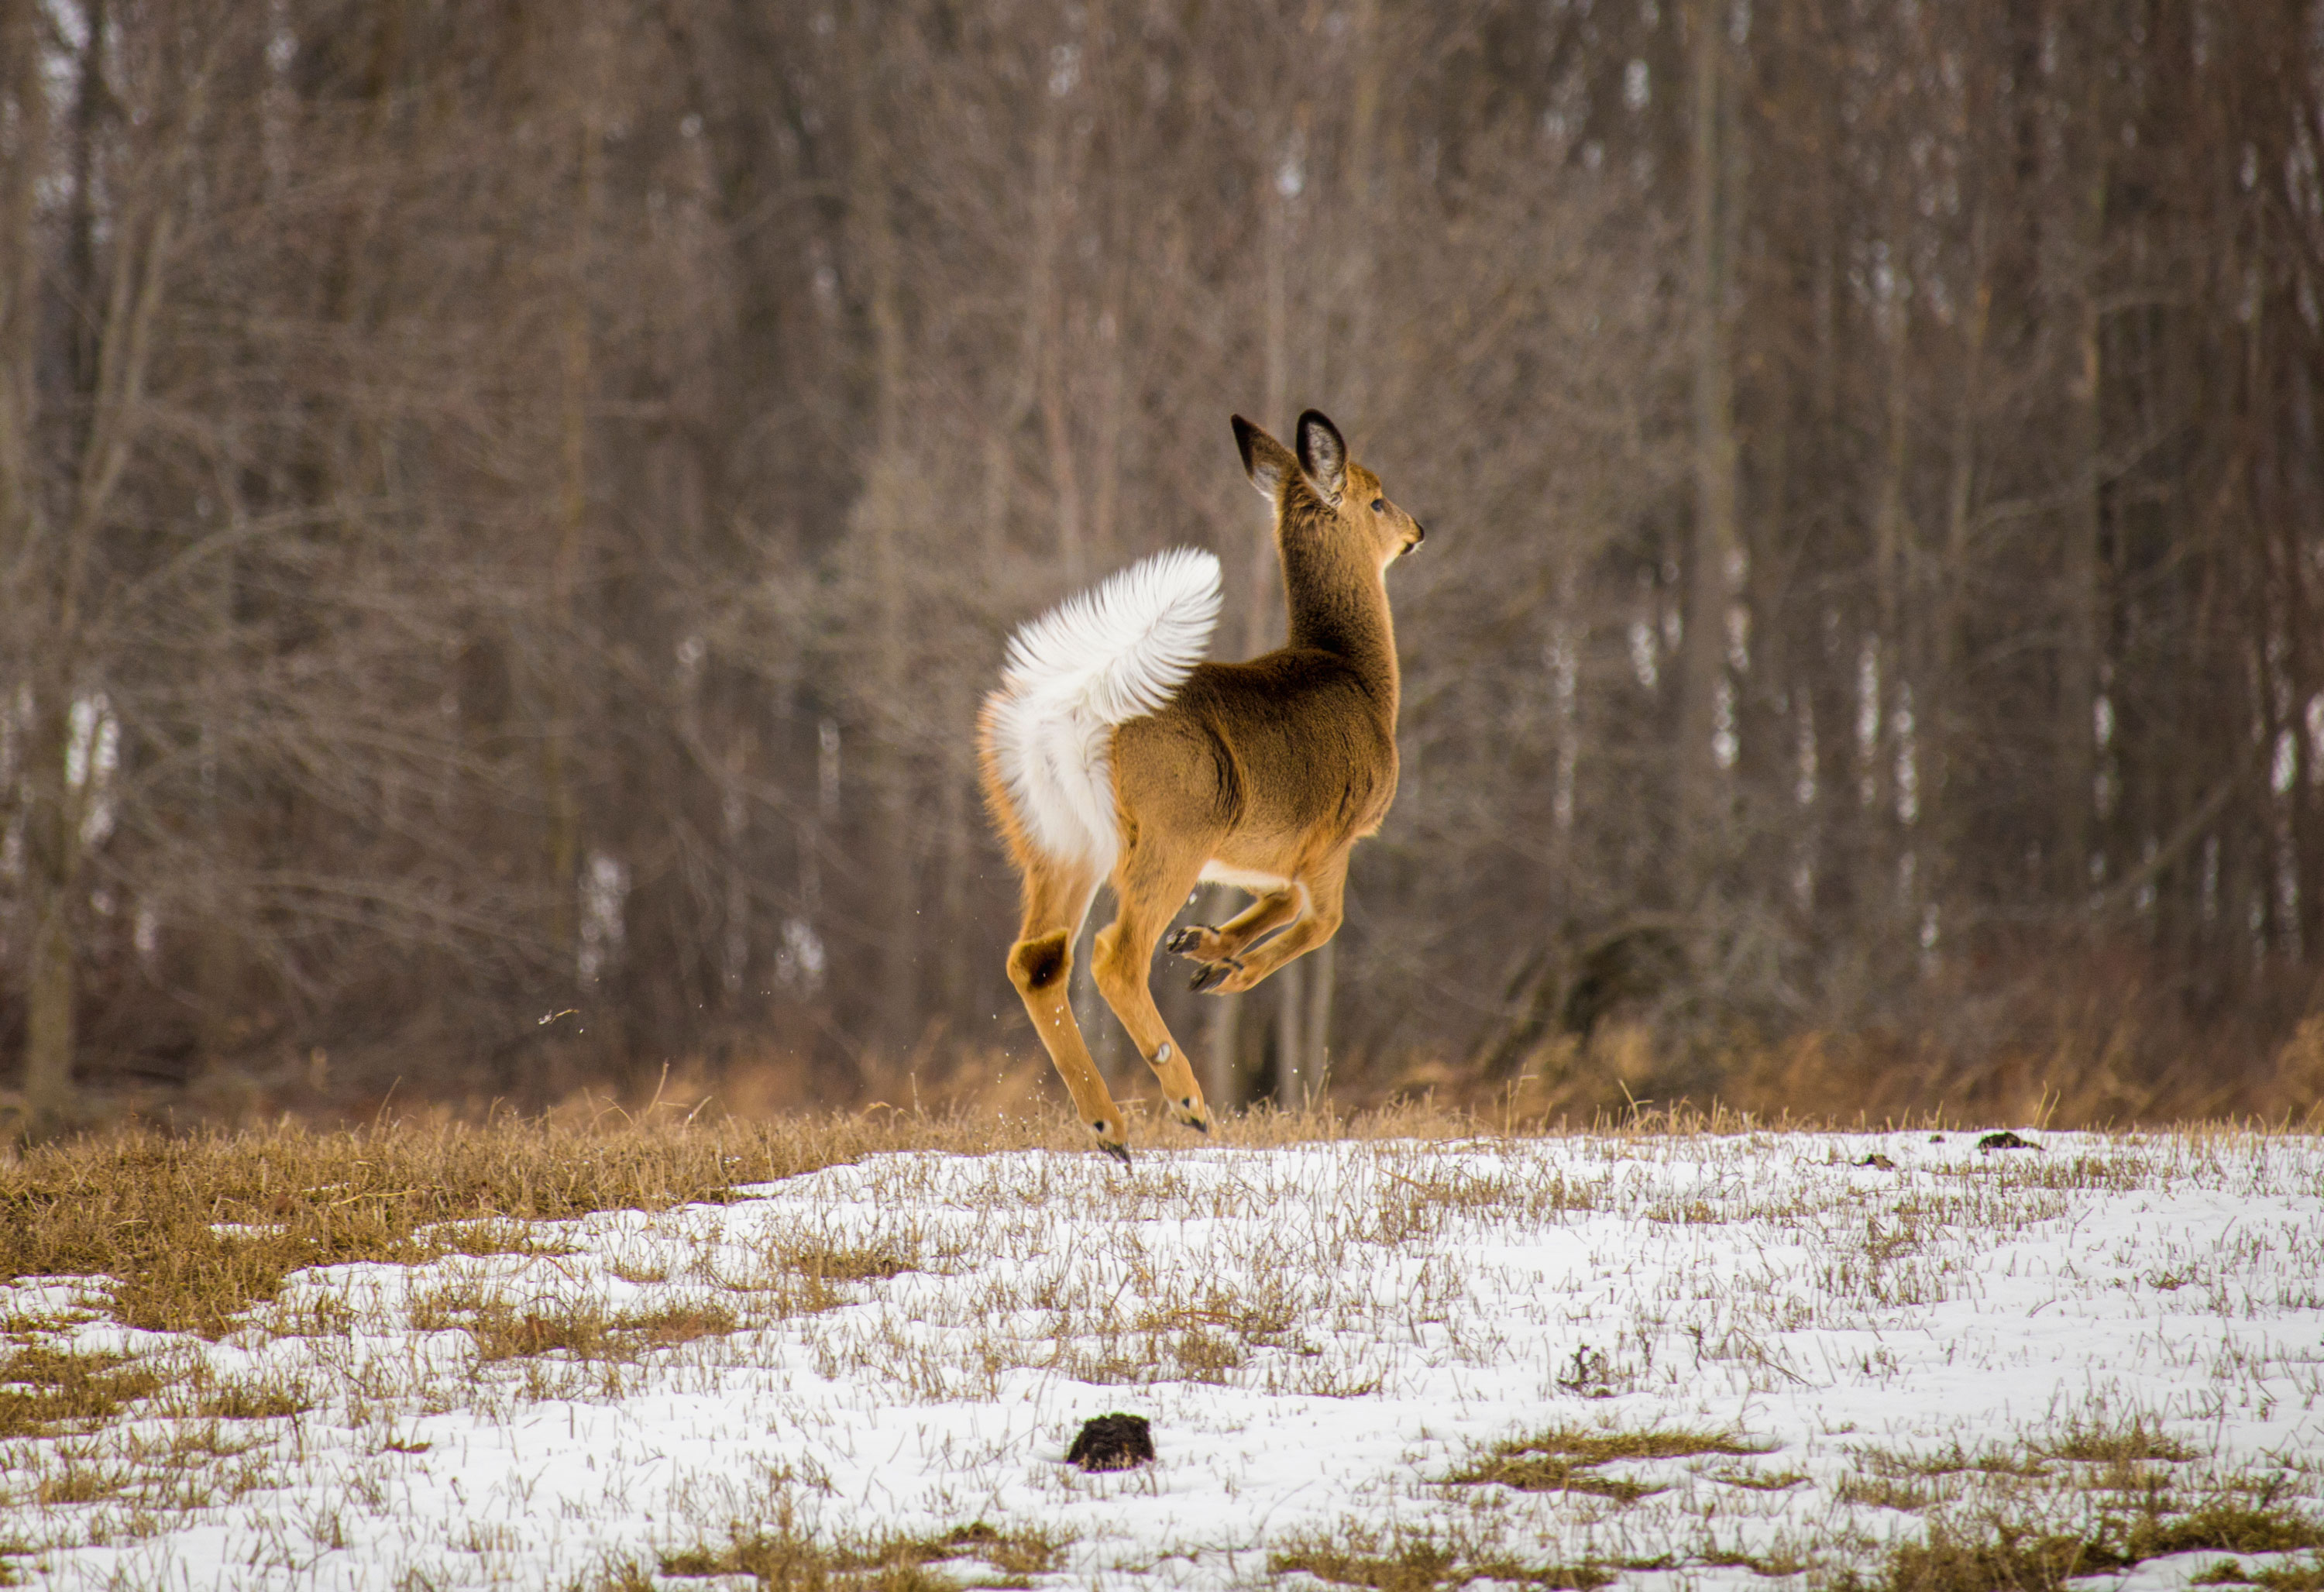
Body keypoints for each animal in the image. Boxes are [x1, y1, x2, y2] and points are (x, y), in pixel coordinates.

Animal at [976, 407, 1422, 1153]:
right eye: (1378, 498)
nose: (1418, 530)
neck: (1359, 678)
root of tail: (1074, 710)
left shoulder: (1260, 850)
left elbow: (1279, 901)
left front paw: (1207, 948)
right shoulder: (1334, 834)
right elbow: (1321, 920)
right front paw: (1228, 970)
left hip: (1055, 841)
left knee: (1035, 959)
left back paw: (1110, 1126)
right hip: (1172, 828)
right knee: (1113, 954)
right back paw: (1185, 1097)